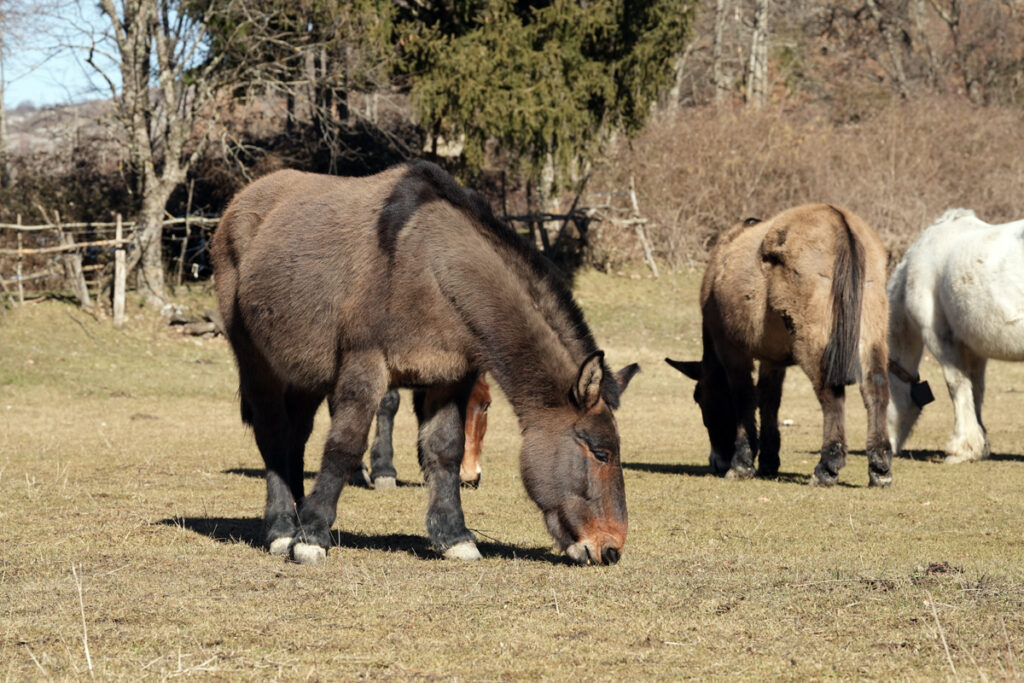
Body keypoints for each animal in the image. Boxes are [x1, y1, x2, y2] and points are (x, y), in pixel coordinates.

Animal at [211, 161, 634, 565]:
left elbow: (444, 450)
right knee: (273, 436)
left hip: (304, 377)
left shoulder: (449, 379)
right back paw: (283, 528)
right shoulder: (365, 369)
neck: (430, 269)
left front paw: (454, 536)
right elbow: (344, 446)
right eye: (601, 453)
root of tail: (240, 202)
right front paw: (312, 536)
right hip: (259, 367)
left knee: (295, 439)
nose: (611, 549)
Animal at [667, 202, 892, 485]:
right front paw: (768, 461)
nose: (716, 461)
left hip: (815, 340)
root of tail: (839, 220)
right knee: (876, 390)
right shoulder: (771, 360)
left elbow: (744, 397)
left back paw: (827, 465)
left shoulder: (731, 351)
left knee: (831, 392)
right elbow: (769, 400)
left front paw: (742, 463)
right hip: (871, 334)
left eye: (699, 398)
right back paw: (880, 466)